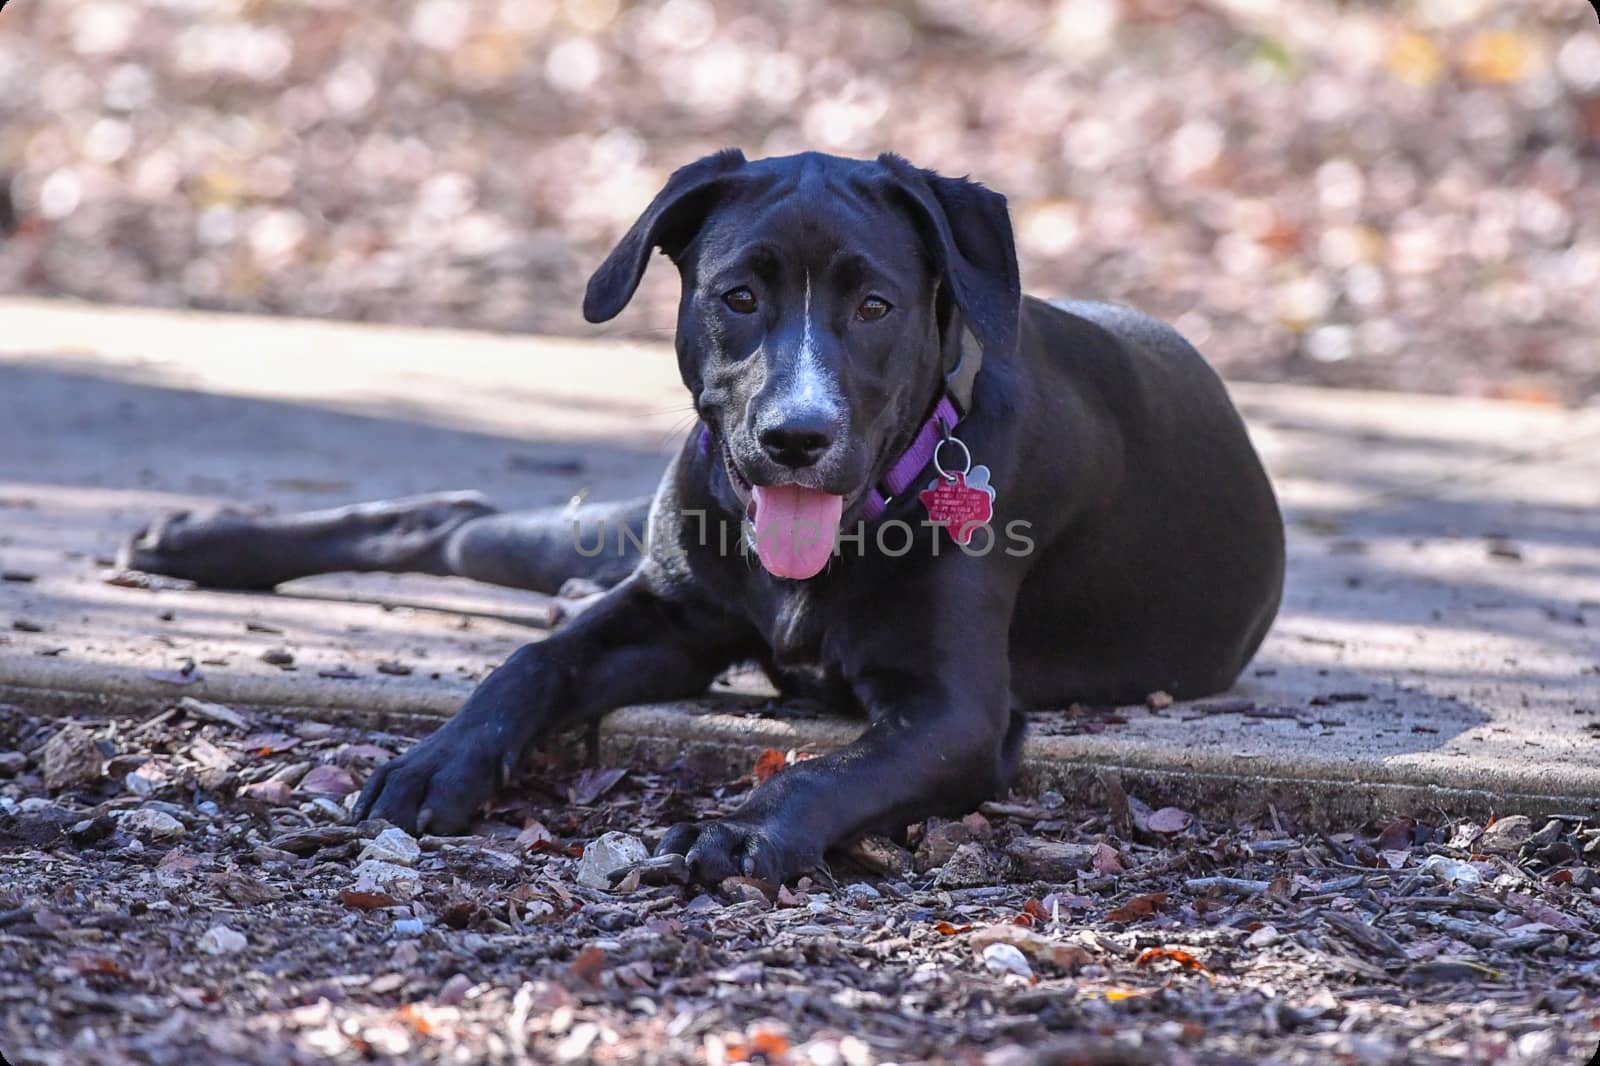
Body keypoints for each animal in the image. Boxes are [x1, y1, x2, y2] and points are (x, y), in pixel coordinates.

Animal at [118, 149, 1280, 877]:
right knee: (453, 518)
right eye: (738, 295)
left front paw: (741, 829)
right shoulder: (666, 615)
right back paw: (197, 542)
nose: (796, 437)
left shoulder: (954, 711)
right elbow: (528, 663)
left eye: (875, 304)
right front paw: (436, 760)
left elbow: (836, 765)